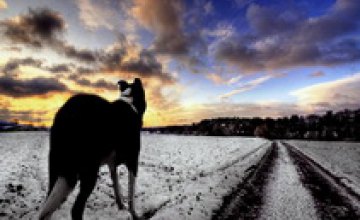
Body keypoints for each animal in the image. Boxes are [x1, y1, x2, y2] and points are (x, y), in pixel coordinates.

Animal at [39, 78, 146, 219]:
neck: (129, 100)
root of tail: (66, 114)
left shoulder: (112, 164)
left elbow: (116, 187)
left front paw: (121, 206)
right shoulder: (133, 161)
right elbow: (131, 194)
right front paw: (134, 214)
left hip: (57, 168)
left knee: (47, 205)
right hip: (89, 170)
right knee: (76, 210)